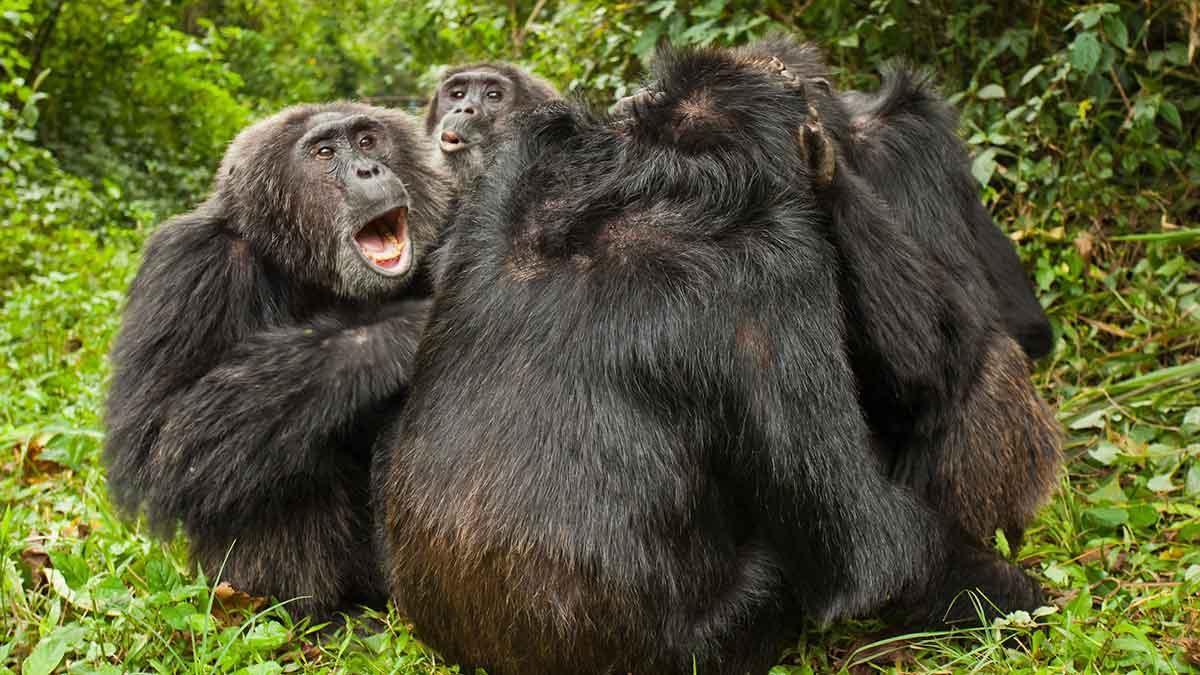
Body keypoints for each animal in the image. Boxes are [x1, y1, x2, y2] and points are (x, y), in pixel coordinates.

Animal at [102, 100, 451, 614]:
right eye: (325, 152)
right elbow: (158, 436)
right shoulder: (187, 267)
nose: (368, 169)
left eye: (367, 141)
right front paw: (403, 331)